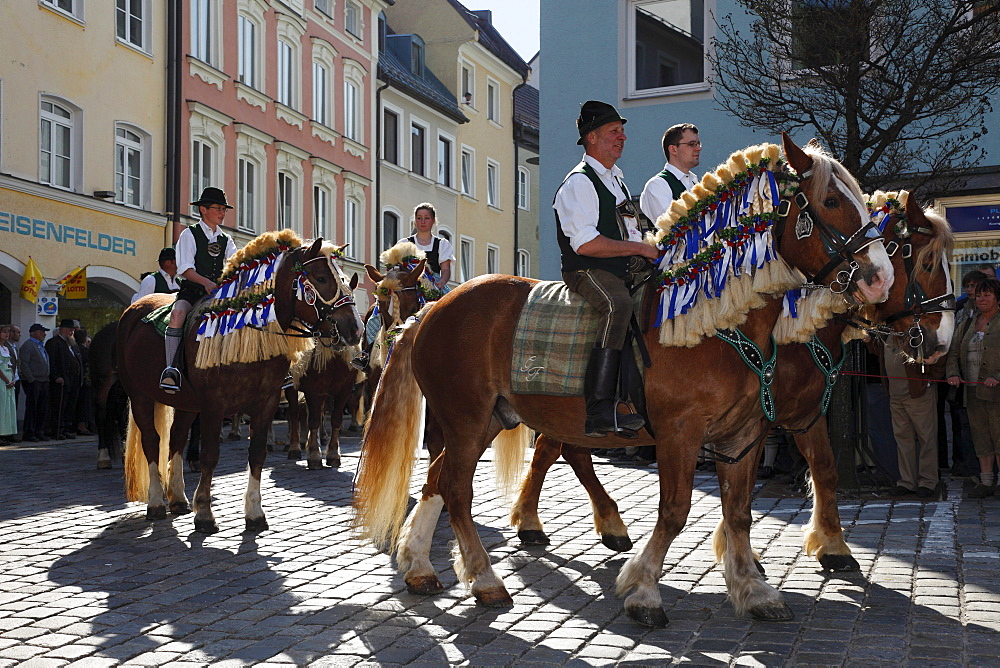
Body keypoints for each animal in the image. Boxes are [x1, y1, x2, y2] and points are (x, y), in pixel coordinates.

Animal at [120, 235, 364, 532]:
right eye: (321, 277)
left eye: (344, 279)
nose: (356, 329)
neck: (245, 331)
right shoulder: (214, 405)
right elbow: (209, 455)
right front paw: (204, 513)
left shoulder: (266, 402)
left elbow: (257, 453)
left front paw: (255, 513)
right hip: (140, 395)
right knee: (152, 441)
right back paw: (156, 502)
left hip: (186, 404)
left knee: (176, 438)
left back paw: (178, 498)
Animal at [356, 134, 896, 628]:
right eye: (830, 201)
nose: (880, 279)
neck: (716, 319)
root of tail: (429, 311)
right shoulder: (680, 432)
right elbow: (675, 510)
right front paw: (643, 590)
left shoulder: (743, 434)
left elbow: (740, 511)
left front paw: (752, 588)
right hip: (466, 418)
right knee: (458, 489)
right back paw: (486, 580)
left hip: (489, 417)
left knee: (438, 478)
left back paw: (420, 566)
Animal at [512, 196, 956, 576]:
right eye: (926, 261)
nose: (942, 342)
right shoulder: (761, 419)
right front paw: (742, 552)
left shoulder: (804, 415)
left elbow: (823, 471)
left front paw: (832, 547)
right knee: (558, 448)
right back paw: (552, 523)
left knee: (563, 448)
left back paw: (584, 524)